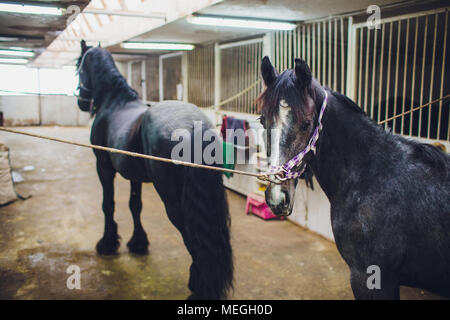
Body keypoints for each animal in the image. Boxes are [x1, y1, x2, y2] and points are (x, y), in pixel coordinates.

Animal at [75, 40, 232, 300]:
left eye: (78, 66)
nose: (81, 100)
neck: (115, 102)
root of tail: (193, 126)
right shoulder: (134, 176)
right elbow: (135, 205)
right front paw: (138, 243)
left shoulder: (104, 167)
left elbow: (108, 204)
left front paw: (108, 244)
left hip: (173, 203)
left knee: (194, 240)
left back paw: (199, 289)